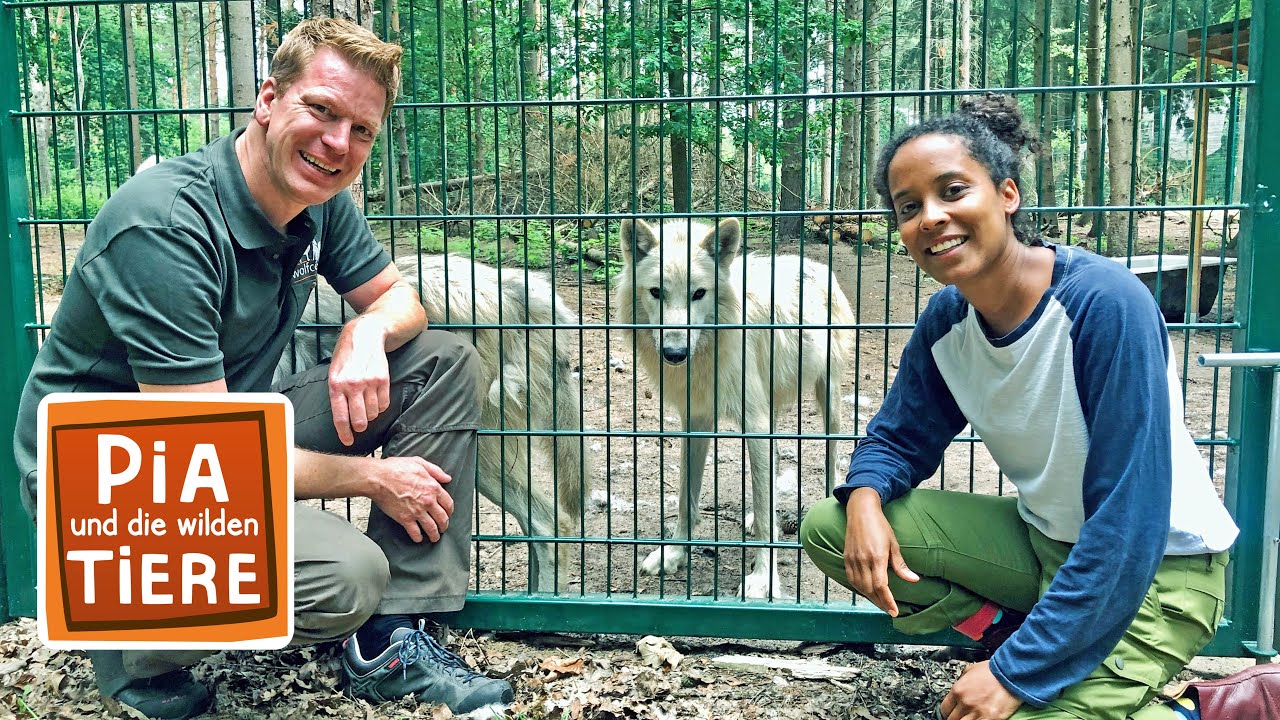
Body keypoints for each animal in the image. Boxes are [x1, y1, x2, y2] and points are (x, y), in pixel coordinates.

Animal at [614, 215, 855, 597]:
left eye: (698, 293)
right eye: (656, 292)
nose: (674, 353)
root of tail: (814, 264)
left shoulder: (754, 424)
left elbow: (764, 510)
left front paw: (763, 578)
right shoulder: (695, 420)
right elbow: (686, 500)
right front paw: (674, 554)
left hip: (827, 397)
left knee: (832, 460)